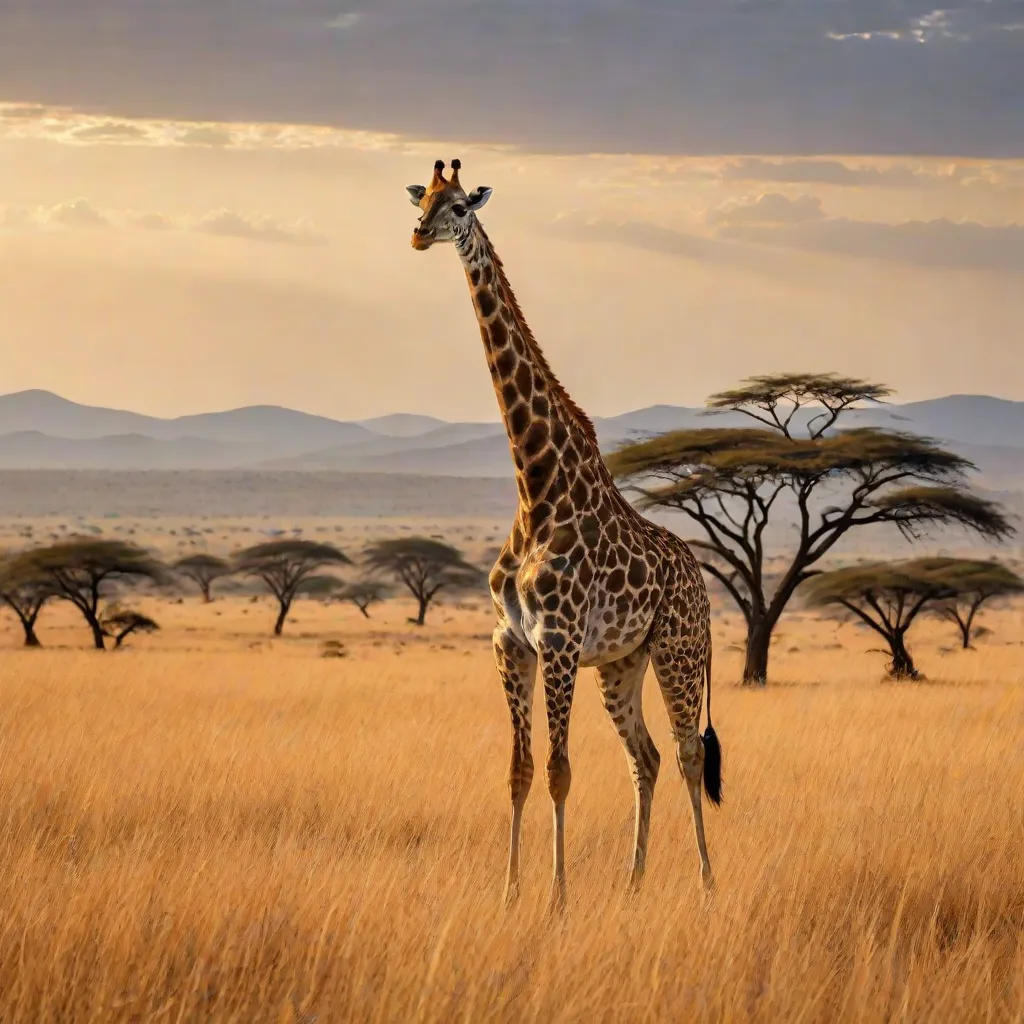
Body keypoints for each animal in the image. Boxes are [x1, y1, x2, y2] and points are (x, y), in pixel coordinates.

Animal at [407, 159, 722, 909]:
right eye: (420, 198)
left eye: (459, 207)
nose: (419, 235)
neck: (536, 487)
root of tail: (702, 581)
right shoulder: (510, 642)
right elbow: (519, 771)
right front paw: (511, 892)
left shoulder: (557, 641)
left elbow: (559, 770)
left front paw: (557, 899)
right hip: (621, 662)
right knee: (648, 757)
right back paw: (635, 883)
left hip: (677, 650)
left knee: (690, 753)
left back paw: (705, 881)